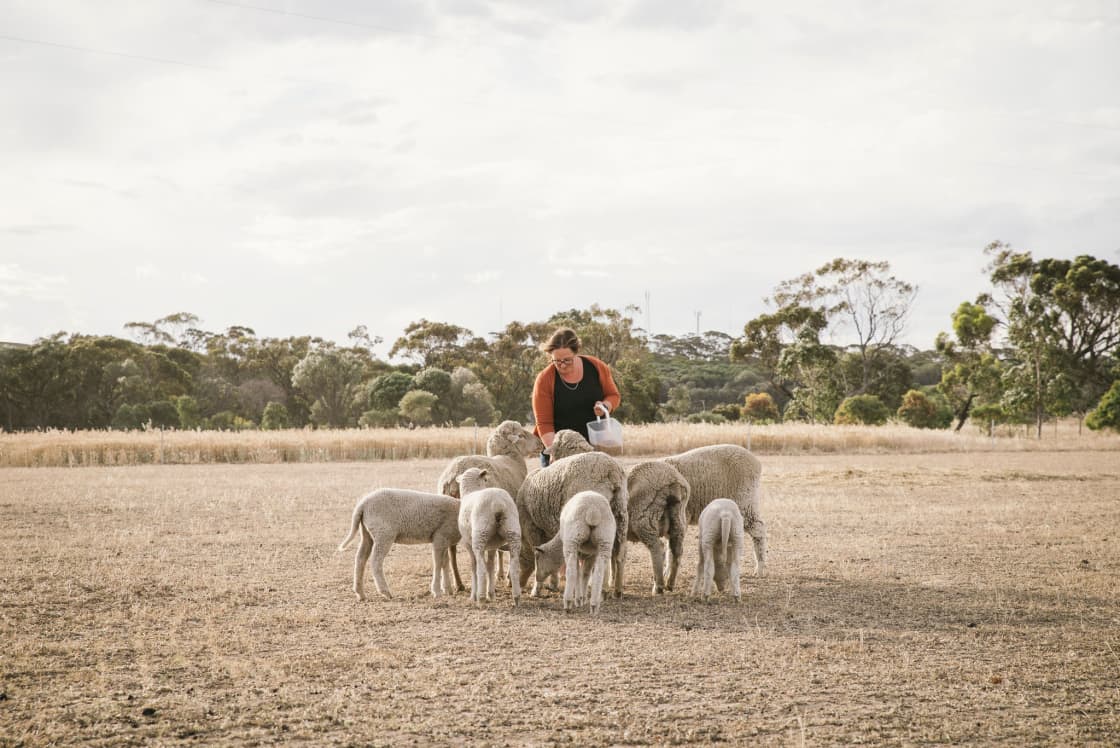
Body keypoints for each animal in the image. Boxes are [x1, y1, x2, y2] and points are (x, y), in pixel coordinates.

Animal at [434, 421, 544, 591]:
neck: (510, 459)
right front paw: (503, 574)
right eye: (521, 435)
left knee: (452, 548)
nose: (540, 444)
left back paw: (458, 584)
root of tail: (453, 476)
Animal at [456, 468, 521, 609]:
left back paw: (480, 598)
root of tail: (497, 503)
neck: (470, 491)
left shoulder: (468, 545)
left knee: (481, 569)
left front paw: (474, 596)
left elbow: (474, 567)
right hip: (513, 530)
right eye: (485, 479)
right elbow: (491, 565)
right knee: (514, 567)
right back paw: (517, 598)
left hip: (480, 535)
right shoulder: (493, 545)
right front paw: (491, 594)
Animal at [515, 432, 631, 595]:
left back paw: (601, 589)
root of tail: (611, 471)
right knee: (620, 554)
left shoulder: (532, 526)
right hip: (621, 515)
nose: (516, 583)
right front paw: (554, 583)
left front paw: (537, 589)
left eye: (518, 559)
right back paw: (617, 590)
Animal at [544, 425, 685, 595]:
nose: (550, 461)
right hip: (676, 518)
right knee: (676, 550)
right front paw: (611, 581)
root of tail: (673, 481)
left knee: (658, 548)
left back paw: (657, 587)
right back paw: (668, 583)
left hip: (643, 518)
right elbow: (613, 555)